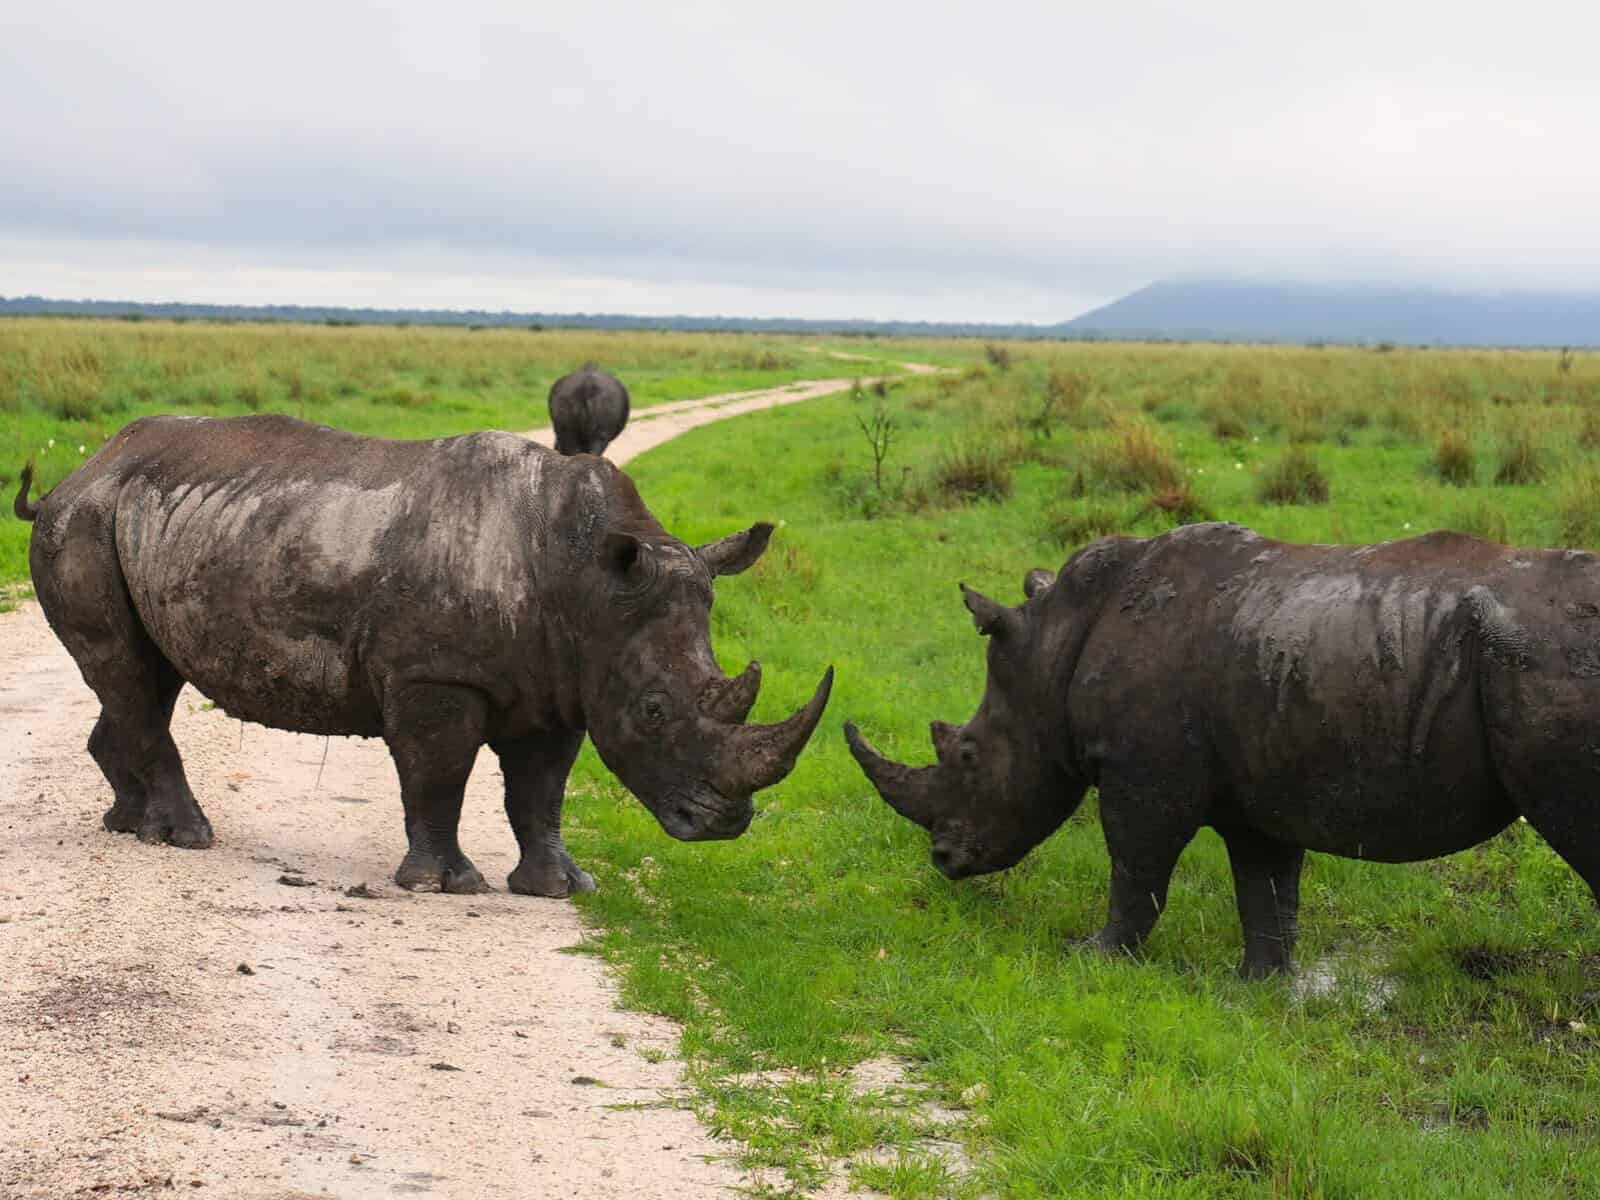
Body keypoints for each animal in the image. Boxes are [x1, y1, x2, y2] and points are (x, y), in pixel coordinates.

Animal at [15, 413, 831, 897]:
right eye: (655, 711)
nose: (725, 822)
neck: (586, 582)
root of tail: (76, 473)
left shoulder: (564, 680)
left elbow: (541, 790)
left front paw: (560, 888)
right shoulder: (435, 676)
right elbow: (439, 775)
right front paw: (444, 886)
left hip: (140, 520)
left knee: (143, 681)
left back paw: (128, 824)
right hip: (85, 521)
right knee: (128, 676)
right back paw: (186, 838)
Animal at [847, 522, 1600, 977]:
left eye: (968, 757)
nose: (944, 861)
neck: (1052, 651)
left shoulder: (1142, 773)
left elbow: (1135, 866)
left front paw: (1094, 957)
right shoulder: (1262, 777)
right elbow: (1265, 885)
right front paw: (1258, 985)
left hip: (1548, 661)